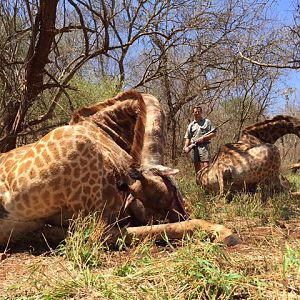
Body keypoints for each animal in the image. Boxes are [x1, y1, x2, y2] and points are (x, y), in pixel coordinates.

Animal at [0, 91, 236, 246]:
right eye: (165, 194)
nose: (179, 214)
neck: (109, 131)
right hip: (90, 215)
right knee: (97, 235)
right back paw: (223, 231)